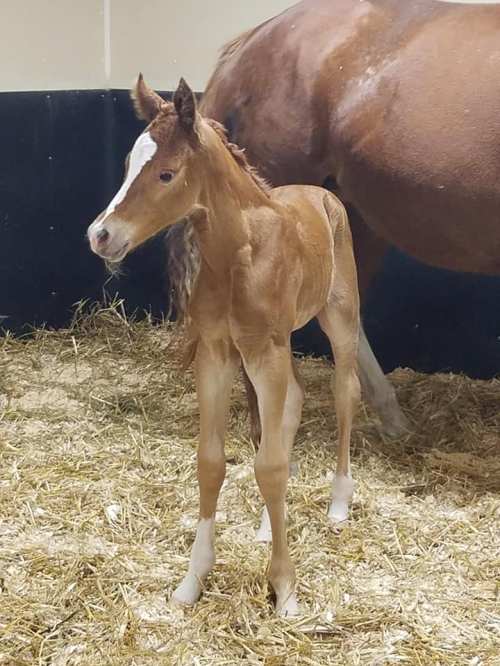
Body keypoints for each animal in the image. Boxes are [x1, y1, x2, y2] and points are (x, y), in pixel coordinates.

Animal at [87, 75, 362, 616]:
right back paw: (266, 525)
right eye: (128, 164)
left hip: (338, 318)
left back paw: (339, 502)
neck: (239, 252)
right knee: (293, 404)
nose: (100, 235)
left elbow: (271, 465)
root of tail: (321, 193)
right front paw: (192, 580)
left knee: (345, 390)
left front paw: (285, 589)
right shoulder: (217, 353)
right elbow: (213, 462)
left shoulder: (265, 351)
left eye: (167, 174)